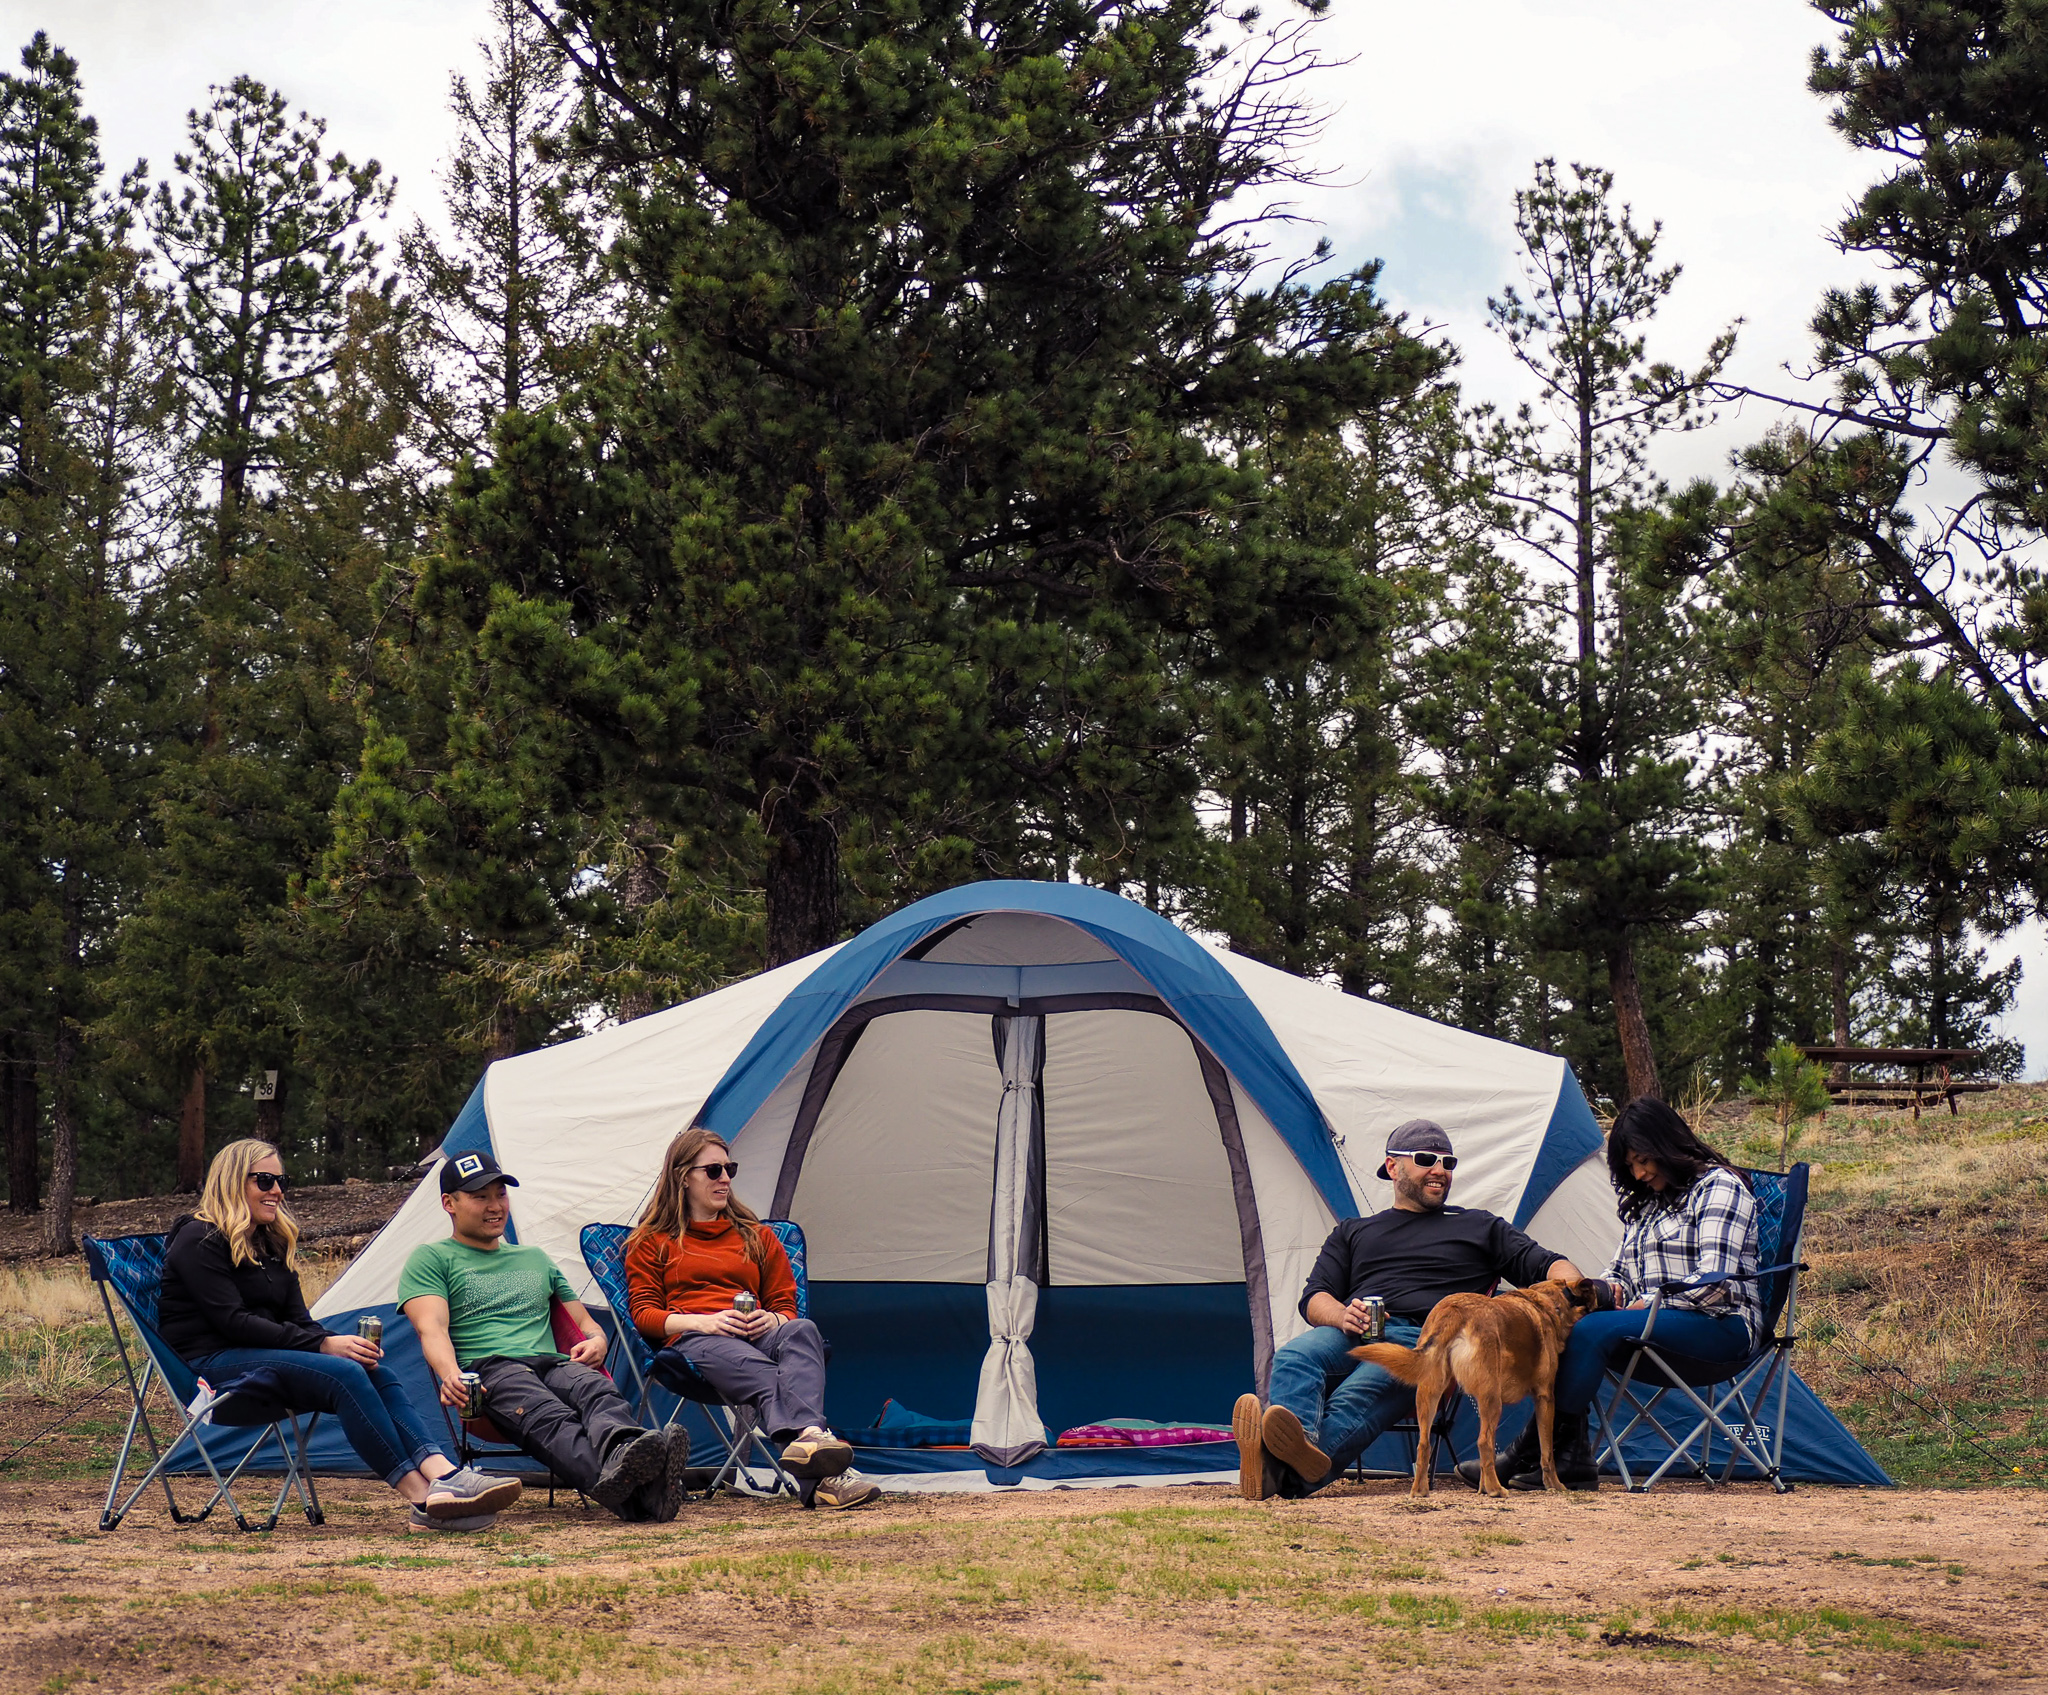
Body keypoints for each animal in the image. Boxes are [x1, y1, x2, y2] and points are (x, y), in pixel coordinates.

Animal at [1351, 1277, 1605, 1506]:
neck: (1549, 1301)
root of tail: (1454, 1310)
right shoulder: (1545, 1397)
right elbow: (1546, 1452)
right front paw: (1554, 1484)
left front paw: (1482, 1486)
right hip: (1492, 1399)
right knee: (1483, 1442)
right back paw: (1496, 1490)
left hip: (1430, 1393)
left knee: (1425, 1445)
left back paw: (1421, 1491)